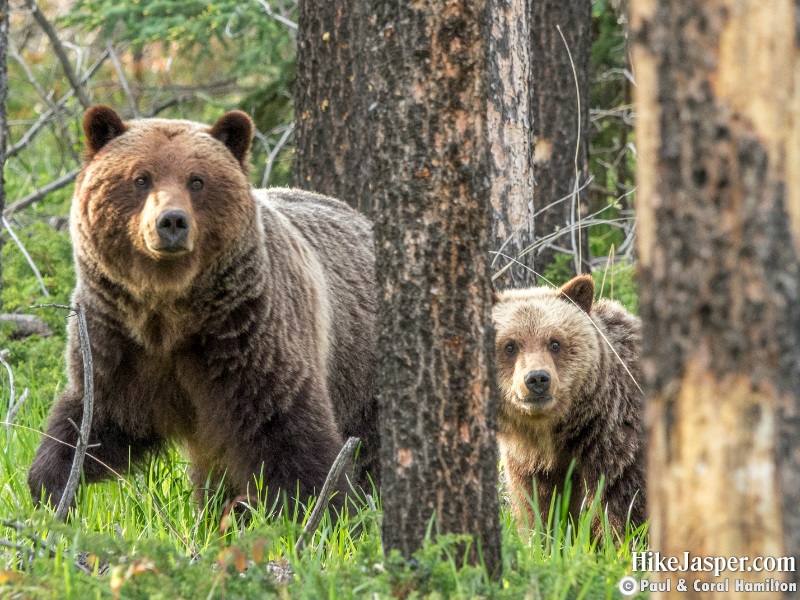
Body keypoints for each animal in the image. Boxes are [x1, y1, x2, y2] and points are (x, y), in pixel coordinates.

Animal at [29, 106, 380, 510]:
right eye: (140, 178)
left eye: (196, 180)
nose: (172, 221)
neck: (170, 309)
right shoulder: (115, 340)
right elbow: (93, 419)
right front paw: (50, 487)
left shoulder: (246, 335)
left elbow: (286, 431)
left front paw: (316, 508)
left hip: (361, 369)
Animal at [494, 274, 644, 536]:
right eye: (509, 346)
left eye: (554, 343)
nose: (537, 379)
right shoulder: (530, 467)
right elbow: (540, 510)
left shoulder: (618, 450)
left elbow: (623, 512)